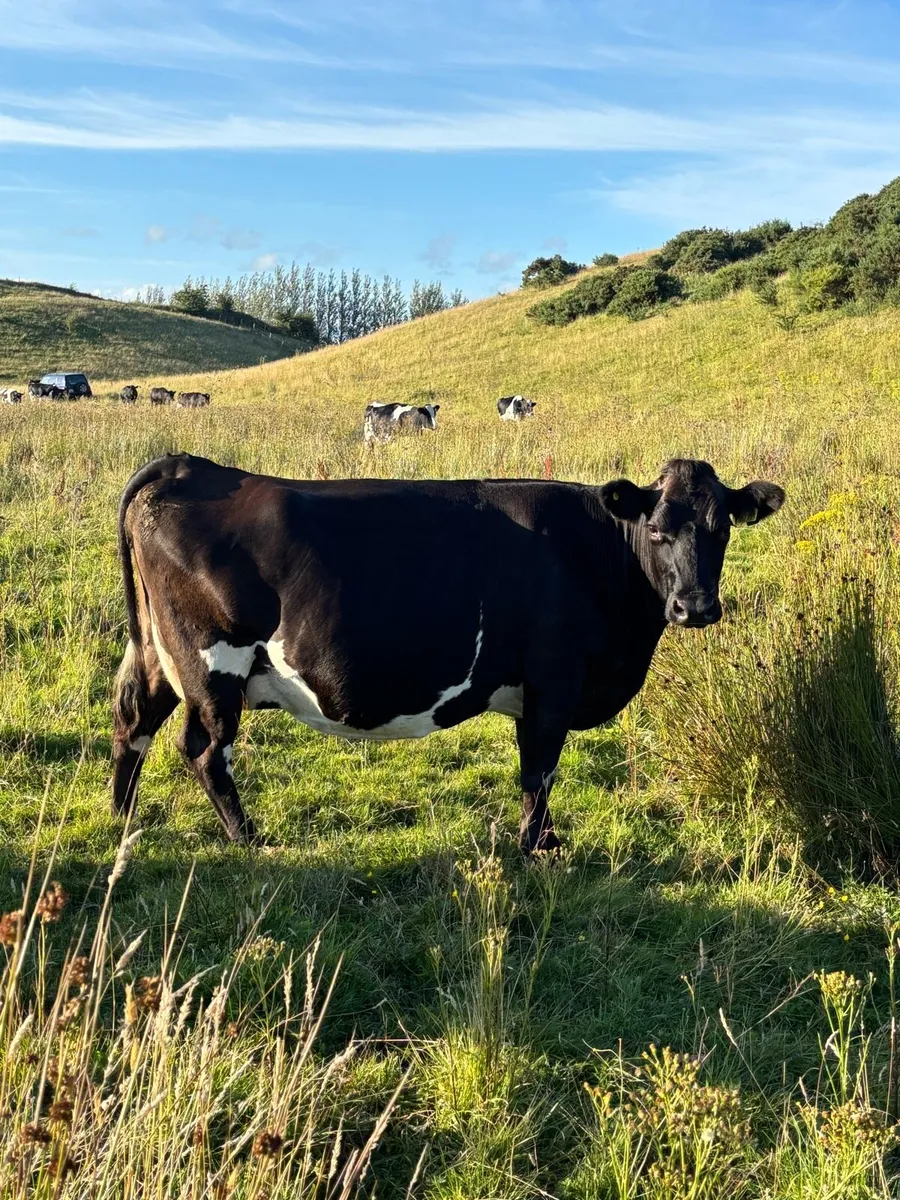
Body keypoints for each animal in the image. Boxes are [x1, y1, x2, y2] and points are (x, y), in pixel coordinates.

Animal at [111, 453, 784, 850]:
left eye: (722, 527)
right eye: (657, 529)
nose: (695, 607)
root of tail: (185, 465)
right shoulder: (554, 681)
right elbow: (539, 770)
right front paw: (538, 847)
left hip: (157, 653)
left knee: (132, 720)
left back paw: (123, 818)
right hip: (211, 664)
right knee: (204, 750)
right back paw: (247, 838)